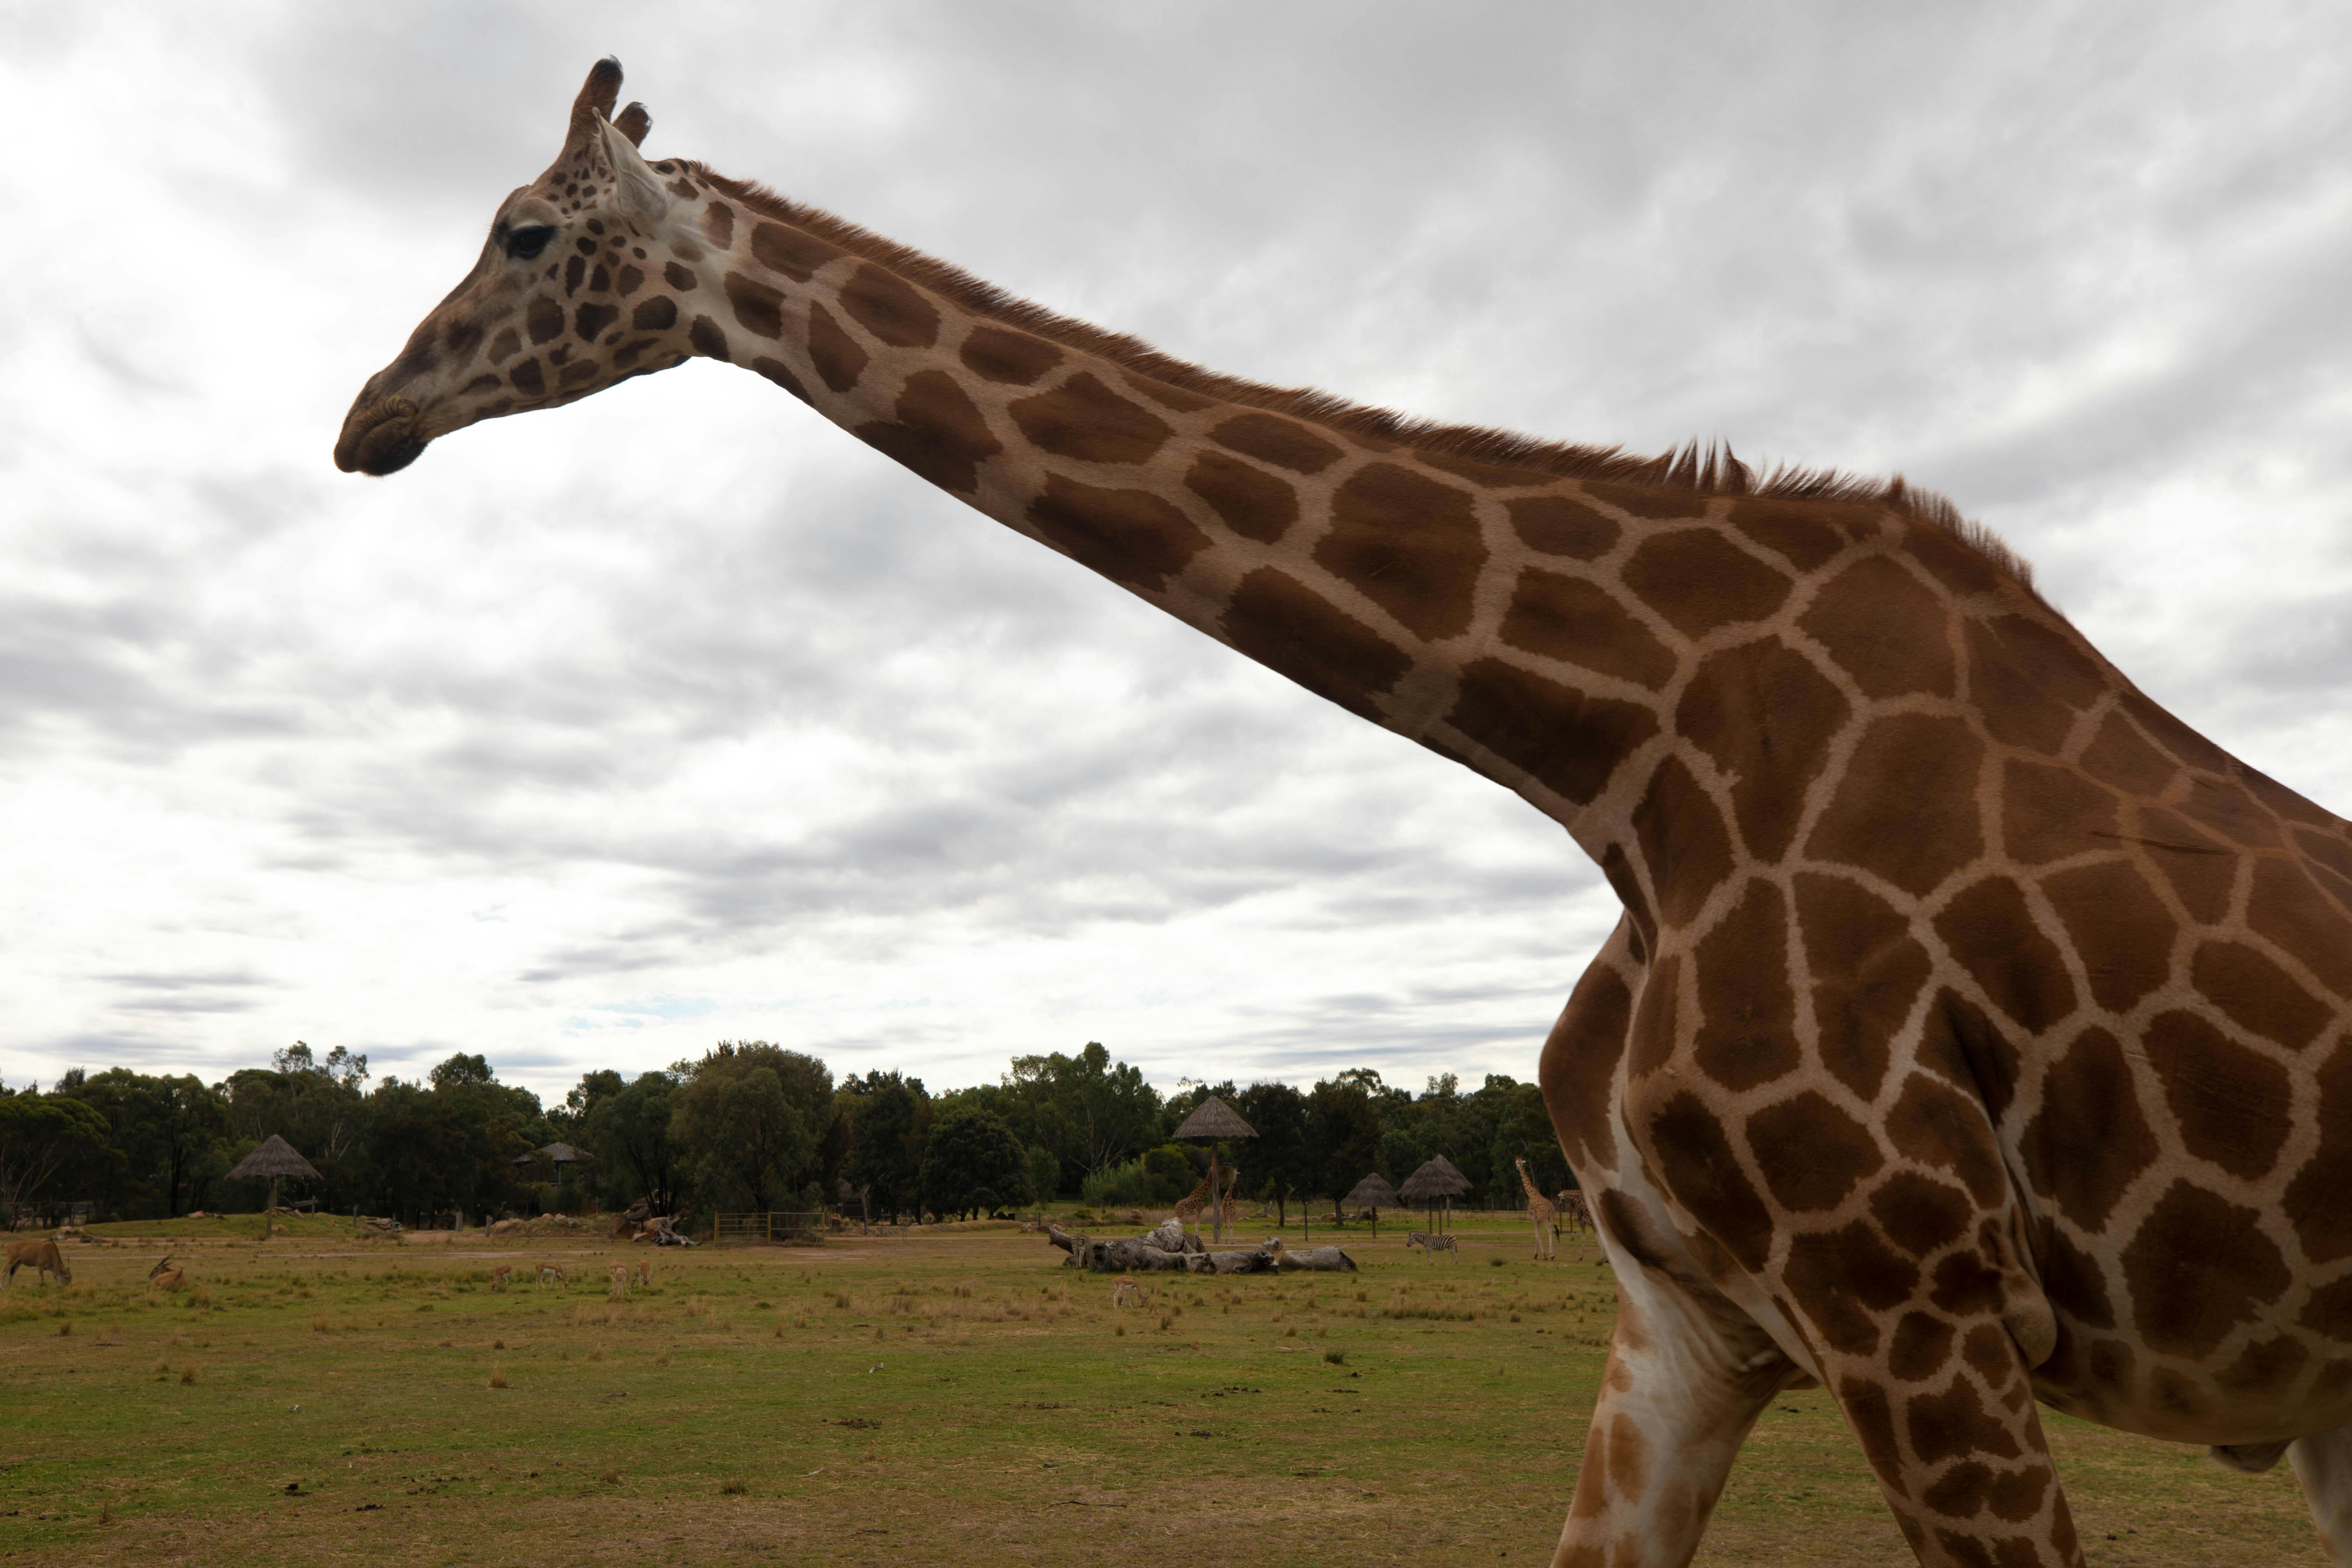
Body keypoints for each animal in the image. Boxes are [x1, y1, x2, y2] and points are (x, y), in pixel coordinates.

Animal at [1515, 1157, 1558, 1262]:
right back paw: (1552, 1254)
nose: (1517, 1169)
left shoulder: (1533, 1217)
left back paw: (1551, 1255)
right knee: (1552, 1229)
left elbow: (1537, 1235)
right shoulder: (1537, 1219)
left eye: (1517, 1162)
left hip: (1543, 1219)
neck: (1531, 1194)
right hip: (1551, 1218)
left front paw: (1543, 1255)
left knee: (1550, 1230)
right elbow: (1537, 1234)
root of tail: (1550, 1209)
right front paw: (1536, 1255)